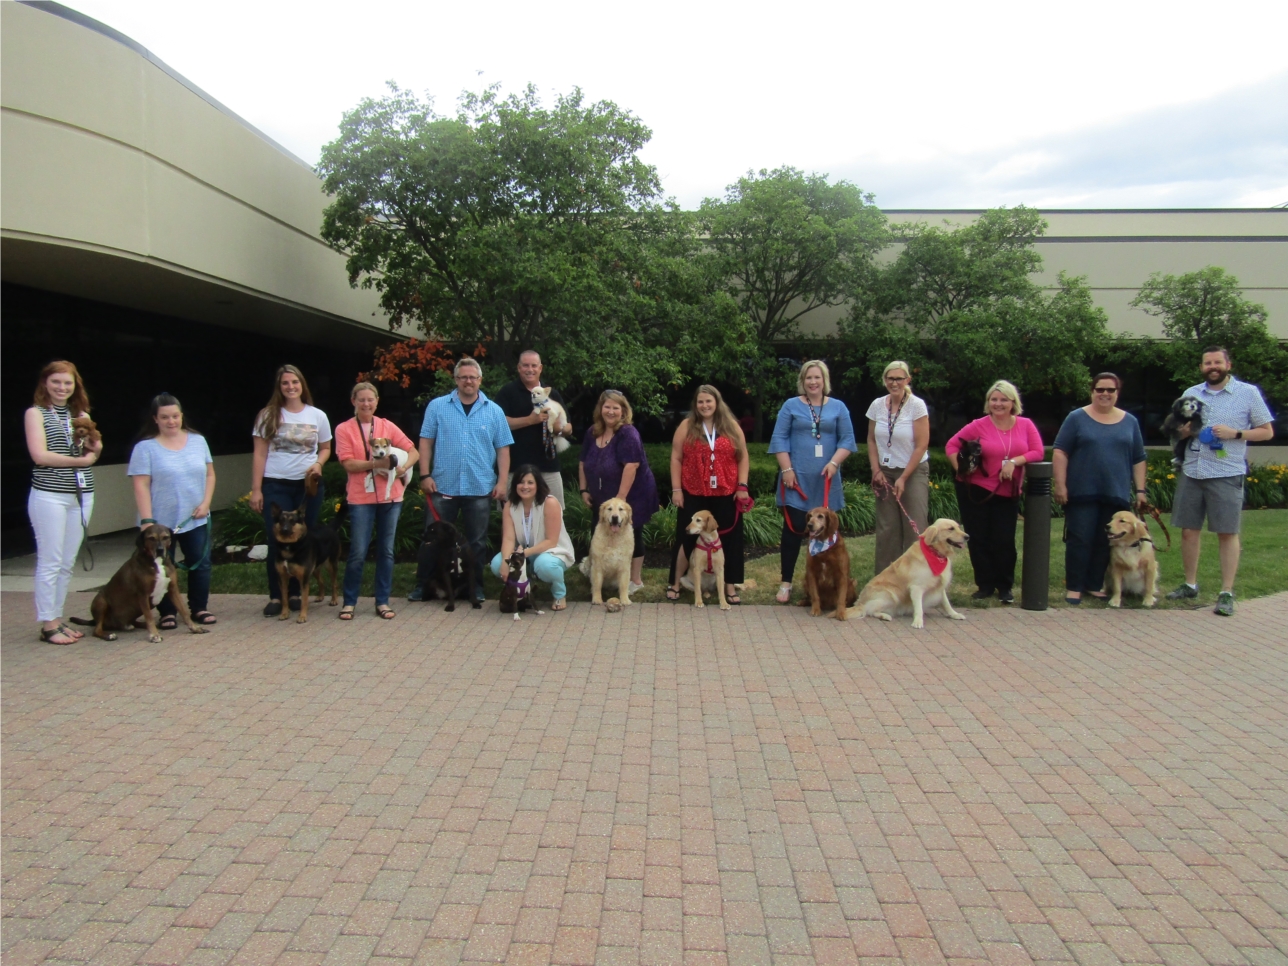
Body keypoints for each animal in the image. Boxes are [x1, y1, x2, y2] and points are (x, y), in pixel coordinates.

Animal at [70, 522, 208, 644]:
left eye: (165, 537)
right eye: (151, 538)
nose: (160, 550)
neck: (156, 563)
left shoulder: (173, 589)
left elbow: (184, 611)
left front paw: (195, 628)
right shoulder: (143, 594)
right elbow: (149, 617)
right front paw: (154, 635)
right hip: (101, 601)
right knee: (96, 630)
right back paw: (108, 635)